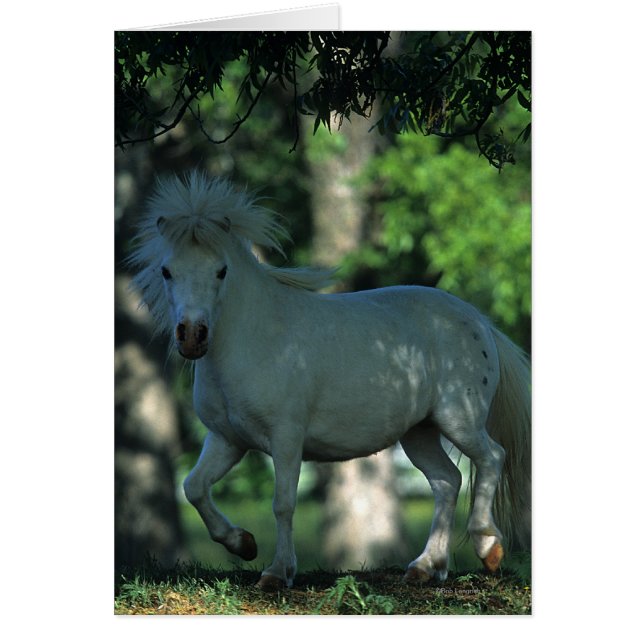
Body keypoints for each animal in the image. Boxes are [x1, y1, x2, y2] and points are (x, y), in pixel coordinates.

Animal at [128, 170, 531, 590]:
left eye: (221, 270)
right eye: (166, 270)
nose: (192, 336)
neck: (255, 337)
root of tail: (479, 321)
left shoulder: (286, 438)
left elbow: (283, 503)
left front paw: (277, 573)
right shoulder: (227, 440)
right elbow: (194, 488)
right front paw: (243, 544)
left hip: (459, 419)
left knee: (491, 457)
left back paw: (488, 547)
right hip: (419, 432)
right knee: (446, 480)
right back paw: (424, 566)